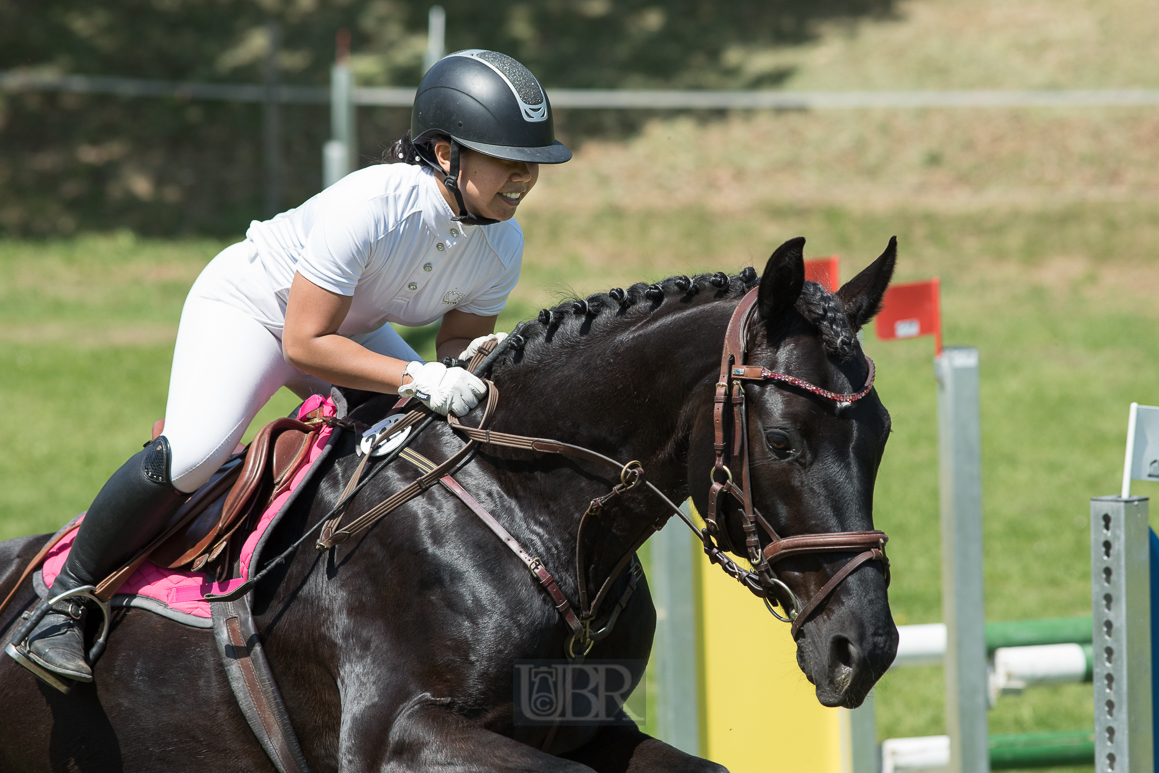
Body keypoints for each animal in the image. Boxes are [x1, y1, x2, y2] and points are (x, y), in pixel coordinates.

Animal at [0, 238, 894, 769]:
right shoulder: (399, 734)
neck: (529, 506)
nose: (865, 648)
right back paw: (54, 628)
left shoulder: (596, 727)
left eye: (881, 432)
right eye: (780, 441)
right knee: (173, 461)